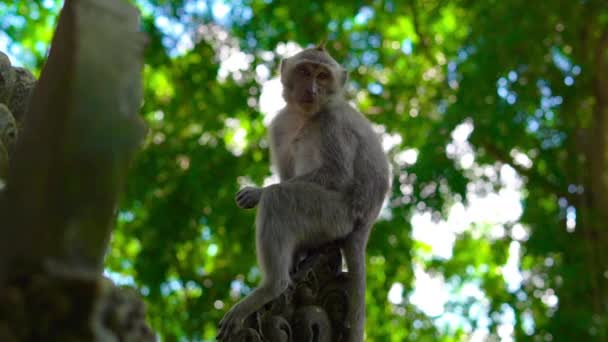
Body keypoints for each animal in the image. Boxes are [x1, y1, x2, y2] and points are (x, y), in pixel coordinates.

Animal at [218, 43, 390, 342]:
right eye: (305, 71)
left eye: (323, 76)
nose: (312, 89)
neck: (305, 114)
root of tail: (364, 225)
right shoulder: (278, 124)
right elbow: (288, 172)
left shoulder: (333, 122)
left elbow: (337, 174)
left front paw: (257, 192)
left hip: (334, 216)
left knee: (281, 199)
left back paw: (272, 286)